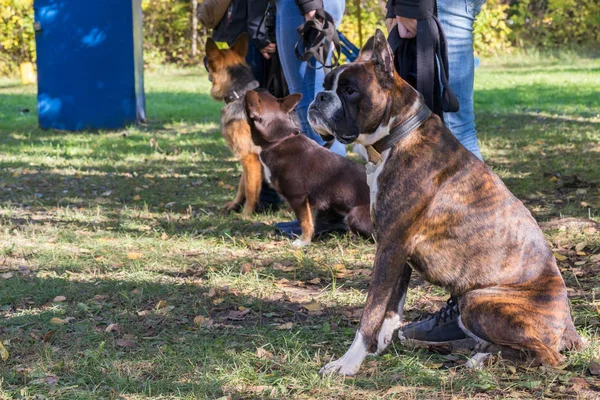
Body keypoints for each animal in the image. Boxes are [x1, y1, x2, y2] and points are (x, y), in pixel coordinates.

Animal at [205, 34, 262, 216]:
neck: (240, 93)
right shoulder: (244, 157)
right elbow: (242, 185)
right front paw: (235, 205)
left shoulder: (249, 158)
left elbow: (250, 190)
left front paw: (246, 214)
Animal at [244, 90, 370, 247]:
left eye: (257, 98)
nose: (249, 90)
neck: (278, 140)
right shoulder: (308, 202)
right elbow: (310, 221)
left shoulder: (298, 197)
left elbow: (304, 222)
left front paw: (302, 242)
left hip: (354, 215)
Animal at [310, 30, 580, 376]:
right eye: (327, 84)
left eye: (349, 90)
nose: (320, 97)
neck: (398, 135)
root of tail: (568, 325)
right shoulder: (397, 251)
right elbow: (392, 306)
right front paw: (378, 348)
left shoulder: (391, 247)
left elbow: (371, 310)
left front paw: (349, 362)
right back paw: (481, 352)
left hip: (476, 300)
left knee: (547, 357)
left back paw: (485, 359)